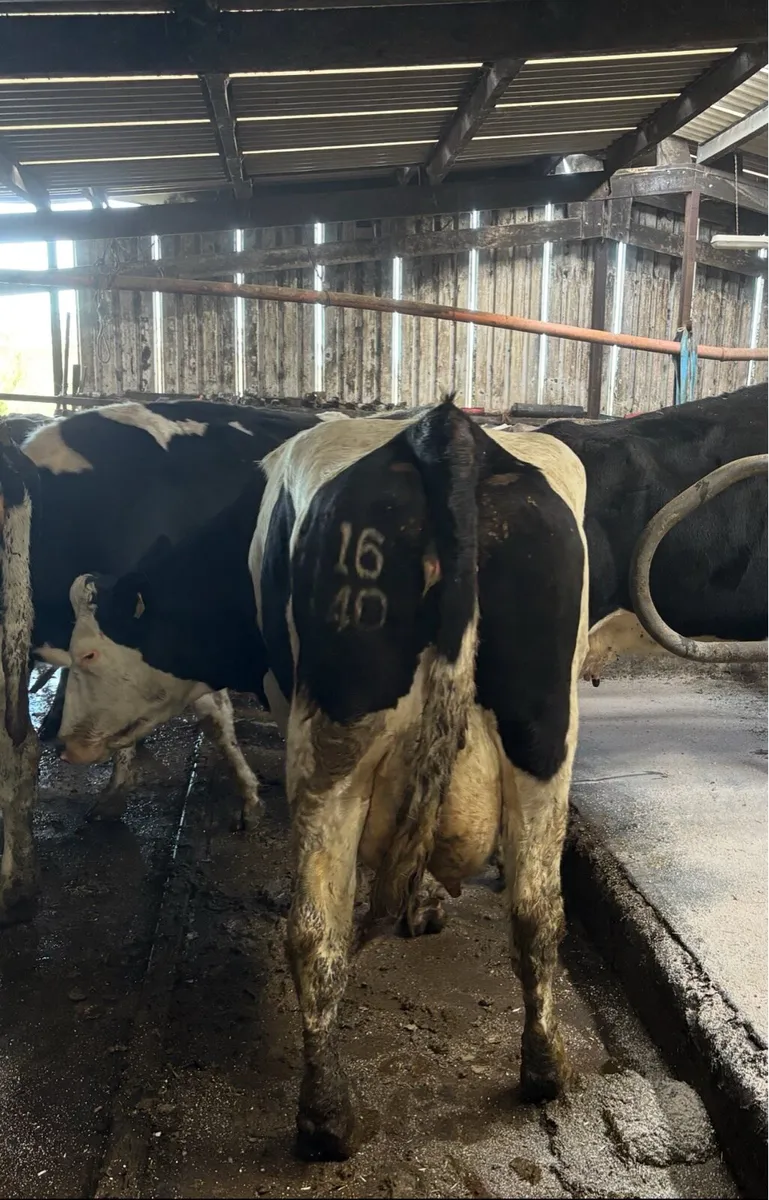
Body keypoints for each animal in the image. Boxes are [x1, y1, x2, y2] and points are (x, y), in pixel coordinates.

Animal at [55, 396, 589, 1159]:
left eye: (88, 654)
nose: (62, 740)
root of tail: (445, 433)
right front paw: (423, 905)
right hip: (543, 734)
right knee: (537, 911)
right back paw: (544, 1071)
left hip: (333, 743)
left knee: (315, 931)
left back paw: (326, 1118)